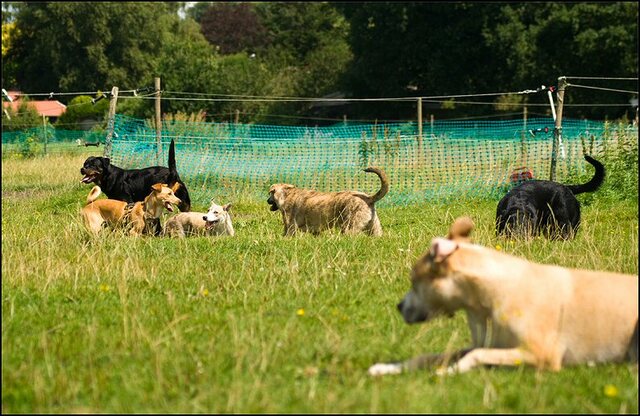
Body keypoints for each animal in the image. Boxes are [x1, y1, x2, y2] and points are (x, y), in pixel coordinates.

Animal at [368, 216, 636, 376]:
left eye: (414, 282)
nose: (399, 306)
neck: (484, 302)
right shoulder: (484, 343)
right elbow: (431, 356)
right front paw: (387, 367)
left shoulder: (541, 353)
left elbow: (474, 356)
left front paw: (448, 372)